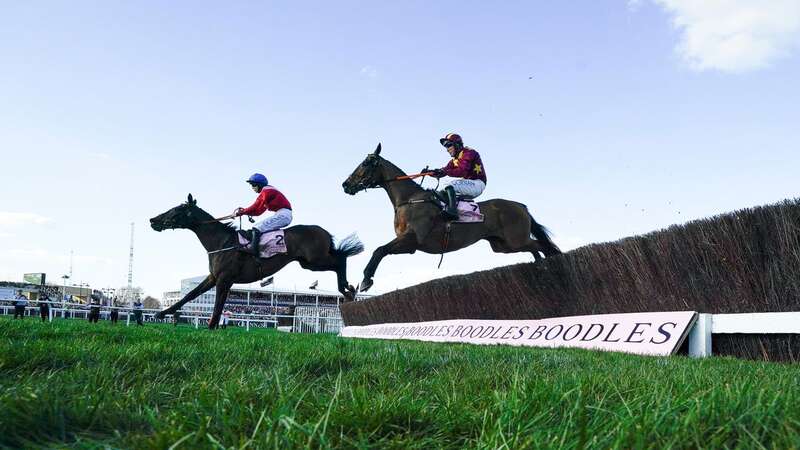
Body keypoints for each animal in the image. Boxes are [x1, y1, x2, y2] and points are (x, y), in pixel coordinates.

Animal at [150, 193, 362, 326]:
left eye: (176, 209)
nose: (153, 220)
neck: (221, 241)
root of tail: (323, 231)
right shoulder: (214, 277)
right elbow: (190, 295)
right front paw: (162, 313)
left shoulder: (224, 279)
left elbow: (217, 307)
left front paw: (210, 327)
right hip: (309, 262)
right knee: (339, 259)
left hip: (315, 260)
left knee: (340, 260)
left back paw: (348, 288)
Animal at [340, 144, 560, 292]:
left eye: (366, 163)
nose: (346, 184)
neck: (409, 200)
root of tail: (521, 206)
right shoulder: (408, 243)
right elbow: (381, 250)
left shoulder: (411, 240)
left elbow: (379, 250)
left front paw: (366, 280)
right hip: (503, 245)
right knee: (536, 248)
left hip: (515, 240)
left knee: (542, 246)